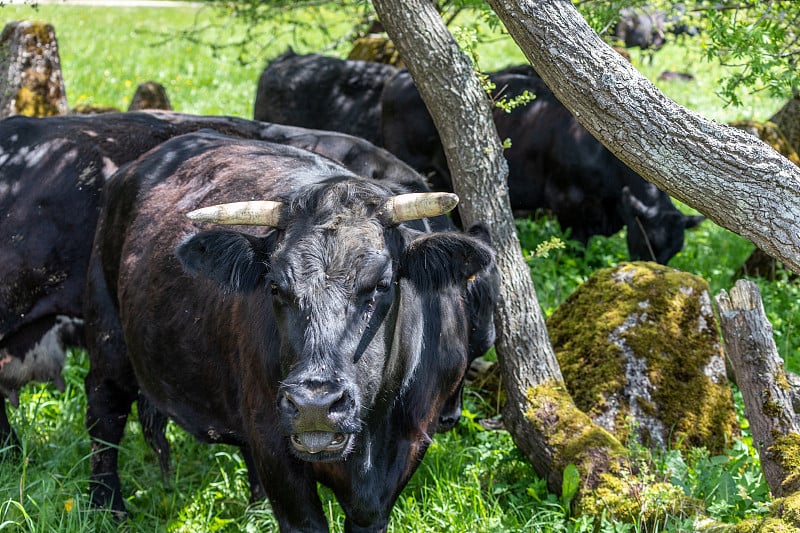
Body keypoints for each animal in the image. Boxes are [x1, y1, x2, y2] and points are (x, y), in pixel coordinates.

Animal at [86, 131, 500, 528]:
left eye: (381, 284)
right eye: (275, 286)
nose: (314, 405)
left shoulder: (406, 451)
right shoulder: (275, 450)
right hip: (110, 338)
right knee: (103, 411)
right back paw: (107, 508)